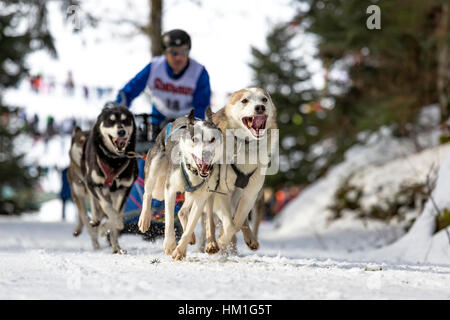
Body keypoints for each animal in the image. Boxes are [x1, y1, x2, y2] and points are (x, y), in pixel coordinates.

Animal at [80, 104, 137, 254]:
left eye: (125, 120)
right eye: (110, 121)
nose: (121, 131)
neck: (114, 160)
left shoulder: (124, 188)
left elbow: (116, 214)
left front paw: (110, 227)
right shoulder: (93, 183)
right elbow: (107, 207)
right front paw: (105, 227)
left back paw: (116, 246)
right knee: (95, 202)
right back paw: (96, 220)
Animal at [137, 107, 221, 260]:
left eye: (213, 139)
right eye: (195, 139)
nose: (206, 154)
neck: (193, 170)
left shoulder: (201, 198)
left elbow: (191, 225)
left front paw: (180, 250)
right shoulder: (170, 190)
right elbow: (169, 220)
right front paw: (170, 244)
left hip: (202, 193)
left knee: (184, 212)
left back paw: (203, 239)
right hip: (154, 166)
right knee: (148, 194)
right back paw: (144, 219)